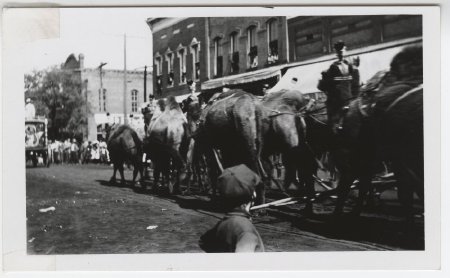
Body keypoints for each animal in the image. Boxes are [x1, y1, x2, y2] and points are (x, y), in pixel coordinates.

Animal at [322, 44, 424, 223]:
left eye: (328, 72)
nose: (320, 79)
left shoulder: (349, 161)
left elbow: (345, 188)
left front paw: (338, 215)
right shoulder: (368, 162)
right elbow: (364, 187)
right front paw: (355, 211)